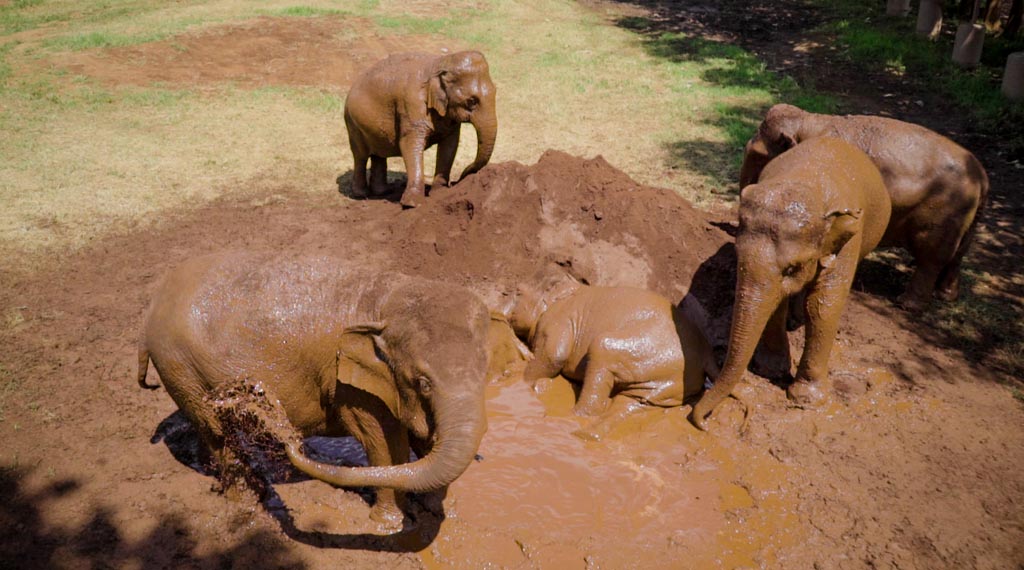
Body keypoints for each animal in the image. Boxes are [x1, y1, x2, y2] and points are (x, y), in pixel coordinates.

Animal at [136, 251, 492, 527]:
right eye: (423, 383)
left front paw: (434, 510)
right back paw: (247, 502)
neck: (389, 293)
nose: (258, 396)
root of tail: (153, 303)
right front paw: (389, 525)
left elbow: (422, 439)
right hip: (179, 365)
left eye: (485, 370)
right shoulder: (347, 383)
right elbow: (385, 442)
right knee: (217, 431)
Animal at [344, 50, 497, 208]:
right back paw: (361, 195)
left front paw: (439, 193)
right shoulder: (412, 104)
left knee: (378, 154)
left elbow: (450, 145)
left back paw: (382, 192)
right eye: (471, 101)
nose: (456, 181)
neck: (441, 62)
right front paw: (412, 204)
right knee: (361, 156)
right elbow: (409, 144)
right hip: (352, 124)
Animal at [507, 272, 719, 438]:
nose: (506, 300)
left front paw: (521, 382)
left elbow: (554, 356)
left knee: (601, 350)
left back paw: (572, 421)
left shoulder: (558, 318)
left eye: (518, 291)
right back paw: (587, 434)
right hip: (667, 379)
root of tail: (707, 354)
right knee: (632, 401)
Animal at [691, 137, 892, 430]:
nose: (704, 421)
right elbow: (776, 301)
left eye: (791, 268)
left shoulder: (849, 238)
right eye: (737, 254)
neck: (805, 181)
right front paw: (770, 370)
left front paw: (806, 400)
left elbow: (823, 305)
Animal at [739, 103, 989, 310]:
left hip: (944, 214)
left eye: (758, 155)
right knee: (958, 254)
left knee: (931, 257)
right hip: (968, 218)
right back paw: (945, 296)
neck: (810, 120)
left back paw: (907, 304)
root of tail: (982, 176)